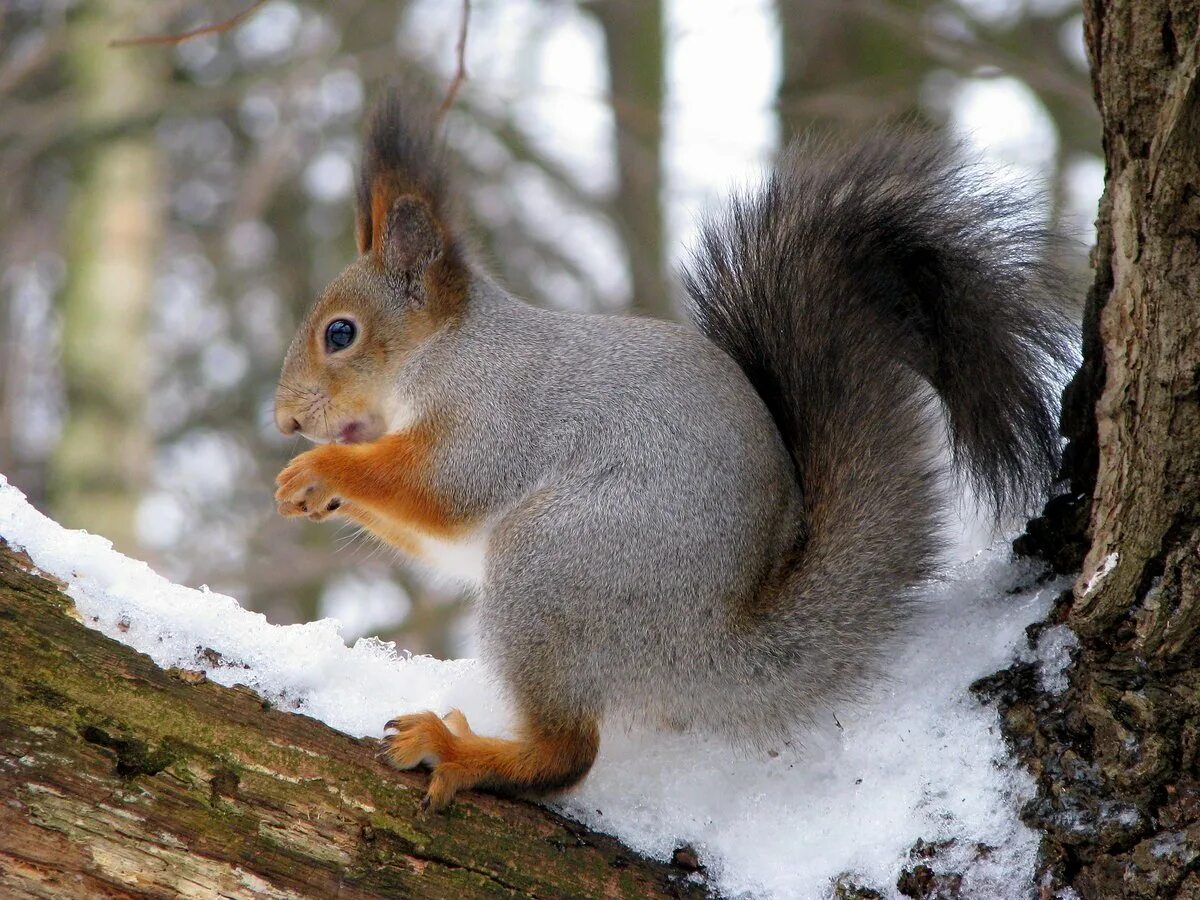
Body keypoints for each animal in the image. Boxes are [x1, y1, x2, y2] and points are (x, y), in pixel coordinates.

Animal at [274, 88, 1080, 816]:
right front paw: (308, 491)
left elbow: (440, 489)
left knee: (571, 754)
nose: (285, 420)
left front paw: (318, 471)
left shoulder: (496, 420)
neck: (447, 353)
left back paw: (462, 751)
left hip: (555, 565)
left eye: (340, 333)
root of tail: (707, 643)